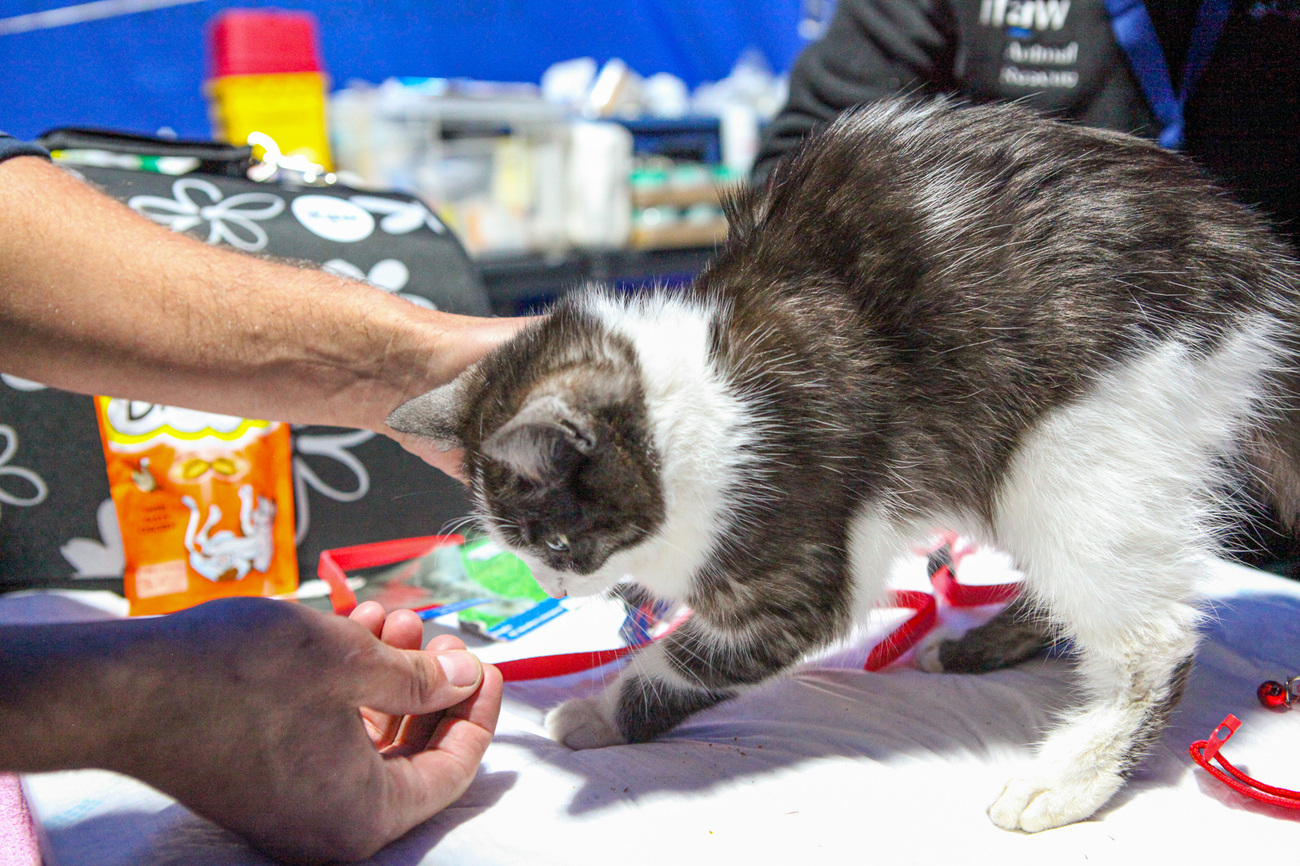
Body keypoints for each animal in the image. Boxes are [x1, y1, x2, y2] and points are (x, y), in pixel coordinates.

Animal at [390, 96, 1300, 832]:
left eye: (553, 543)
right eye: (521, 551)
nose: (553, 586)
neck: (701, 398)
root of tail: (1259, 266)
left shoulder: (796, 570)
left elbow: (690, 661)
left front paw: (601, 713)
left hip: (1073, 449)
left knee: (1154, 639)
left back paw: (1068, 778)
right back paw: (972, 651)